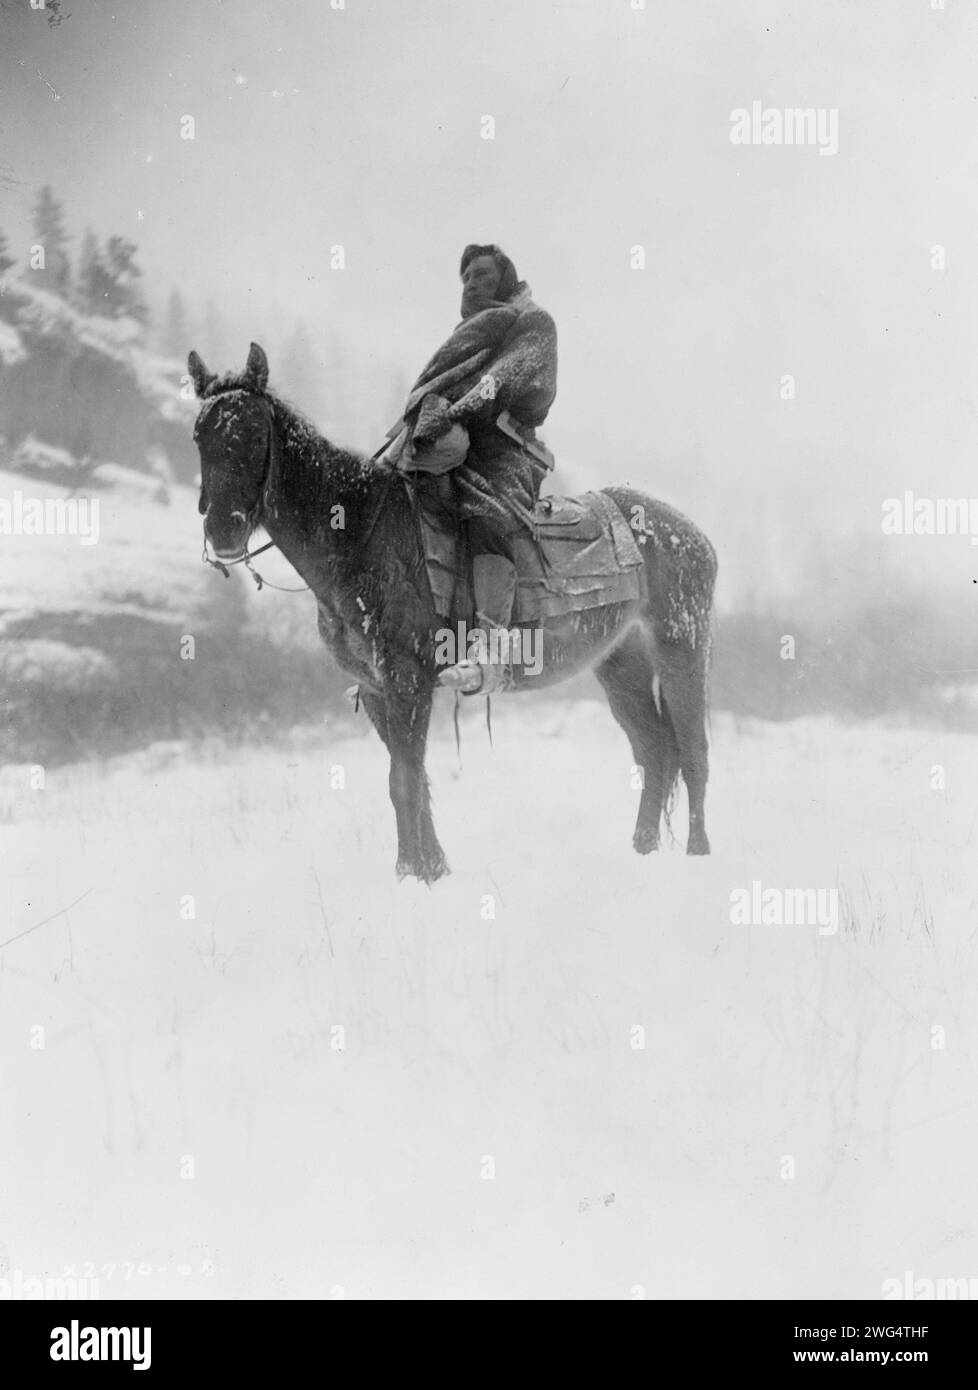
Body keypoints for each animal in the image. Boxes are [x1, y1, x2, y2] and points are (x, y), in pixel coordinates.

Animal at [188, 341, 716, 878]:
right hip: (619, 663)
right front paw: (429, 868)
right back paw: (642, 851)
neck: (362, 535)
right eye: (199, 435)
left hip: (682, 648)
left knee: (692, 750)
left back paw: (698, 852)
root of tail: (691, 533)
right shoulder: (375, 688)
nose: (223, 530)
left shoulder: (407, 680)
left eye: (254, 432)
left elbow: (403, 779)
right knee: (654, 750)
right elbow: (411, 778)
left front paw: (413, 874)